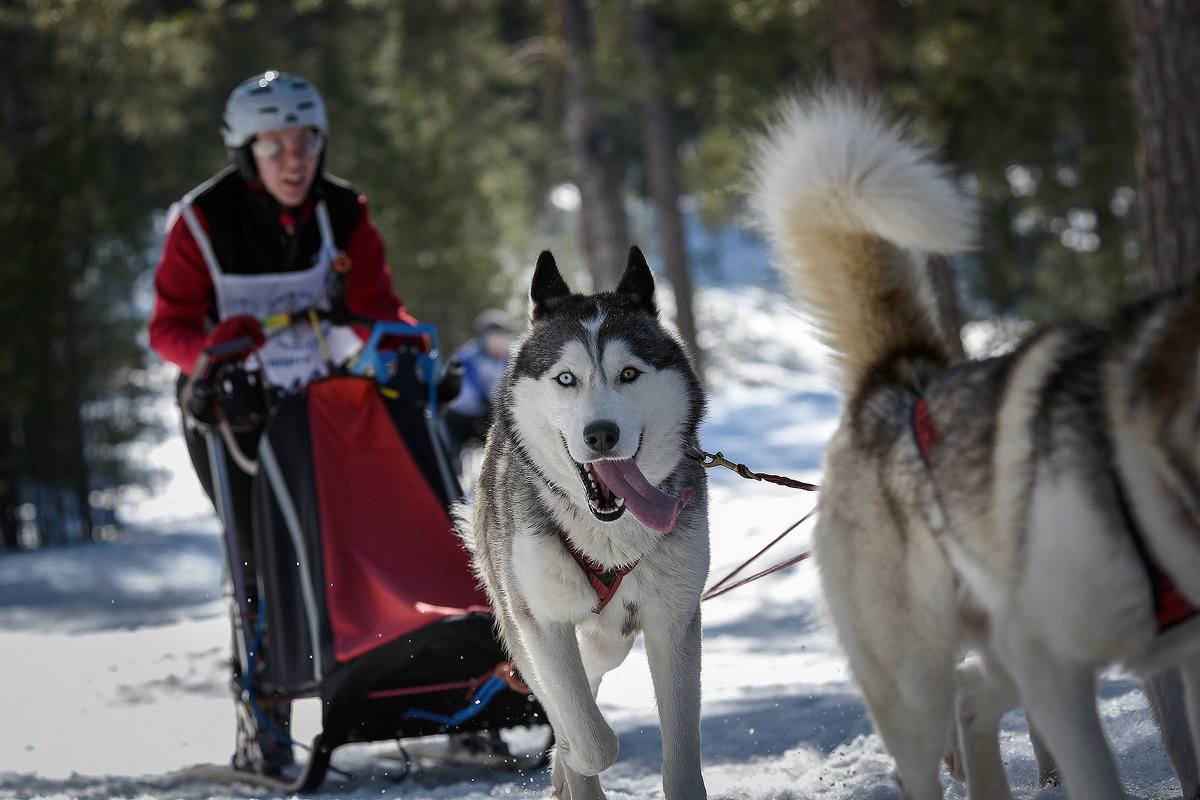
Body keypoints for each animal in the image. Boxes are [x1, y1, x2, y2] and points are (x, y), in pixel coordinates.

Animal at [453, 248, 705, 800]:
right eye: (566, 378)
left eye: (629, 374)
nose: (601, 434)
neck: (606, 535)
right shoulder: (540, 621)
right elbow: (590, 741)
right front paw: (568, 754)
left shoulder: (672, 621)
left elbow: (680, 763)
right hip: (515, 616)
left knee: (597, 656)